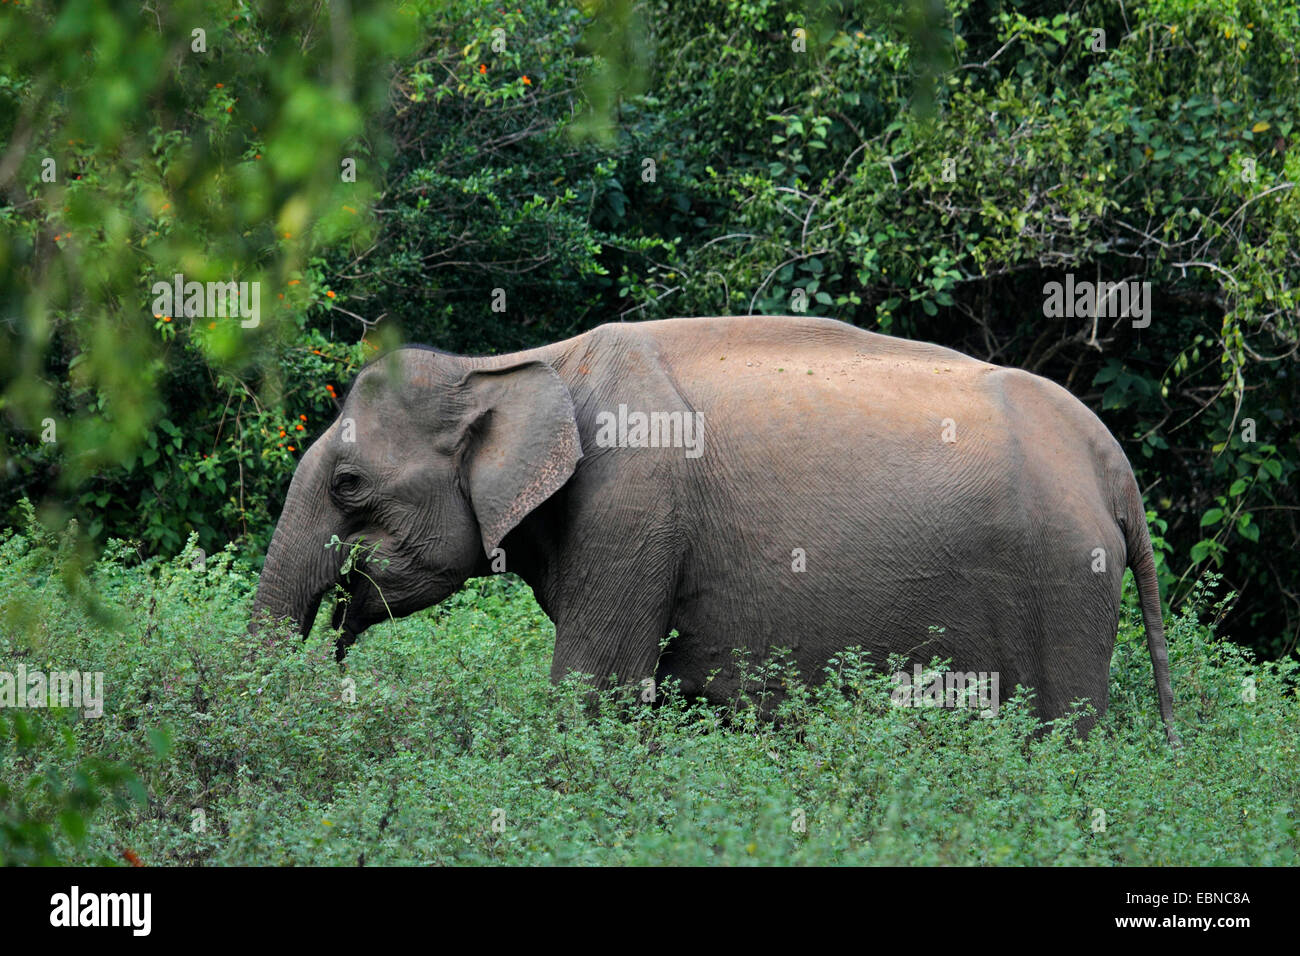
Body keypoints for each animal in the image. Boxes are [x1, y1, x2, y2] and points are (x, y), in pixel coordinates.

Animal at [250, 317, 1180, 743]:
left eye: (348, 484)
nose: (333, 657)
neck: (510, 364)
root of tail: (1111, 462)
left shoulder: (631, 507)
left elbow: (597, 692)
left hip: (1064, 580)